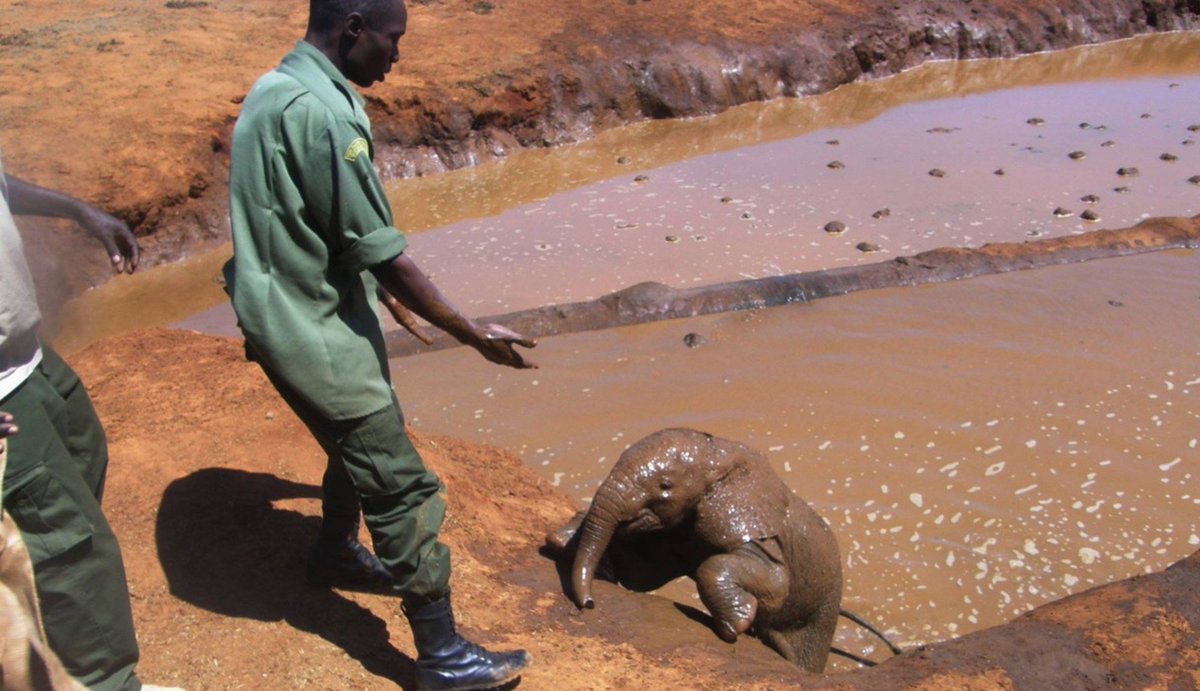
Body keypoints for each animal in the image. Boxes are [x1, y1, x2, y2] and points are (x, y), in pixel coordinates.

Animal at [545, 428, 843, 672]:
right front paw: (565, 541)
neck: (720, 457)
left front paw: (736, 625)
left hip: (823, 613)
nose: (588, 603)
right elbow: (639, 573)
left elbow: (776, 583)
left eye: (665, 485)